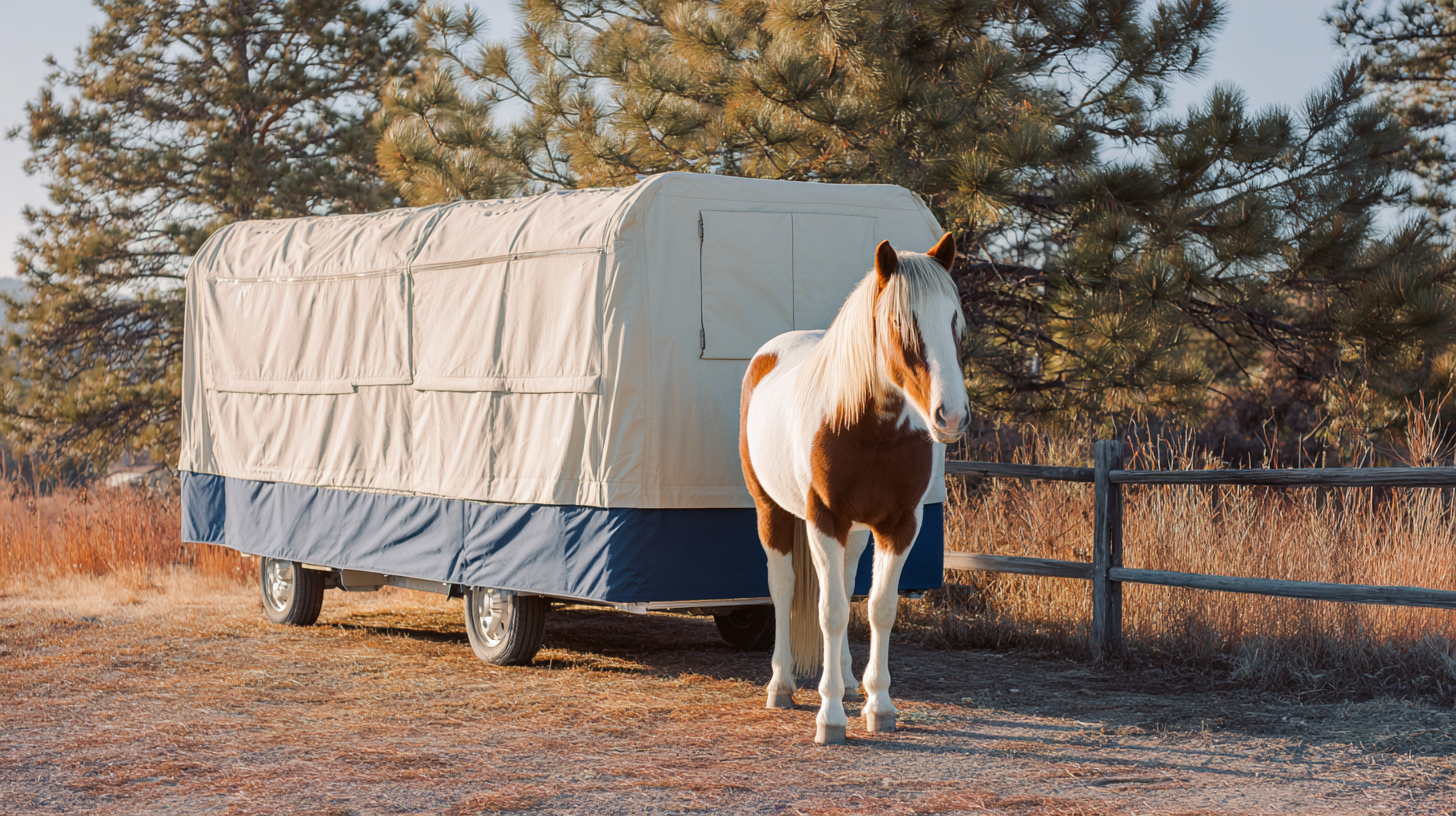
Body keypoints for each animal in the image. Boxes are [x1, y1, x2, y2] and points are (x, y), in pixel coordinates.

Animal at [739, 233, 969, 745]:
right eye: (901, 321)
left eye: (953, 319)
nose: (951, 416)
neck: (870, 428)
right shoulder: (824, 520)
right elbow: (830, 611)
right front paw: (831, 718)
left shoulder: (899, 524)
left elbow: (879, 608)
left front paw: (878, 705)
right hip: (771, 511)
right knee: (783, 588)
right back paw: (782, 685)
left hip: (858, 531)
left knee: (845, 582)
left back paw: (844, 679)